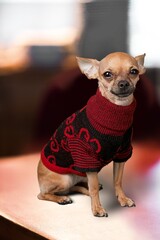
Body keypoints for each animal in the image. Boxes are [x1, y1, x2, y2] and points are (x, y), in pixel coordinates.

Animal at [37, 52, 145, 218]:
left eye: (133, 71)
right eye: (107, 74)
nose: (123, 83)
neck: (116, 113)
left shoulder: (122, 154)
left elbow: (118, 181)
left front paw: (123, 198)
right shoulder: (87, 159)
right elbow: (93, 188)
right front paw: (97, 209)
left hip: (78, 175)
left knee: (75, 187)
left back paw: (82, 191)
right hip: (65, 179)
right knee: (44, 194)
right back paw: (62, 198)